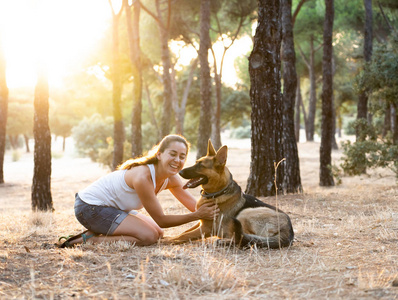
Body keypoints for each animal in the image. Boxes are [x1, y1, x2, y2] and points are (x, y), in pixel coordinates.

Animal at [166, 141, 294, 248]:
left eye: (201, 165)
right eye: (196, 163)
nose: (180, 172)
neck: (217, 193)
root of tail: (288, 232)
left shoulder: (206, 227)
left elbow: (184, 235)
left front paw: (167, 240)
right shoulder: (200, 222)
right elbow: (184, 231)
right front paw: (168, 236)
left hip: (246, 213)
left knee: (242, 240)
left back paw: (223, 241)